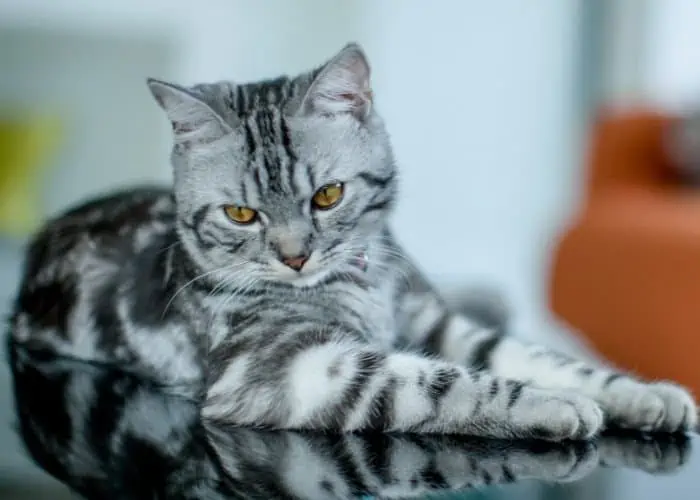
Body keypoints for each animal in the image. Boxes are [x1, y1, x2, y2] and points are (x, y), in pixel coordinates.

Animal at [9, 43, 696, 442]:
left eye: (328, 196)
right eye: (241, 214)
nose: (295, 257)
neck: (365, 286)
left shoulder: (437, 323)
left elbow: (537, 356)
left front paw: (641, 393)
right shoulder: (288, 367)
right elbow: (444, 384)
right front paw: (557, 406)